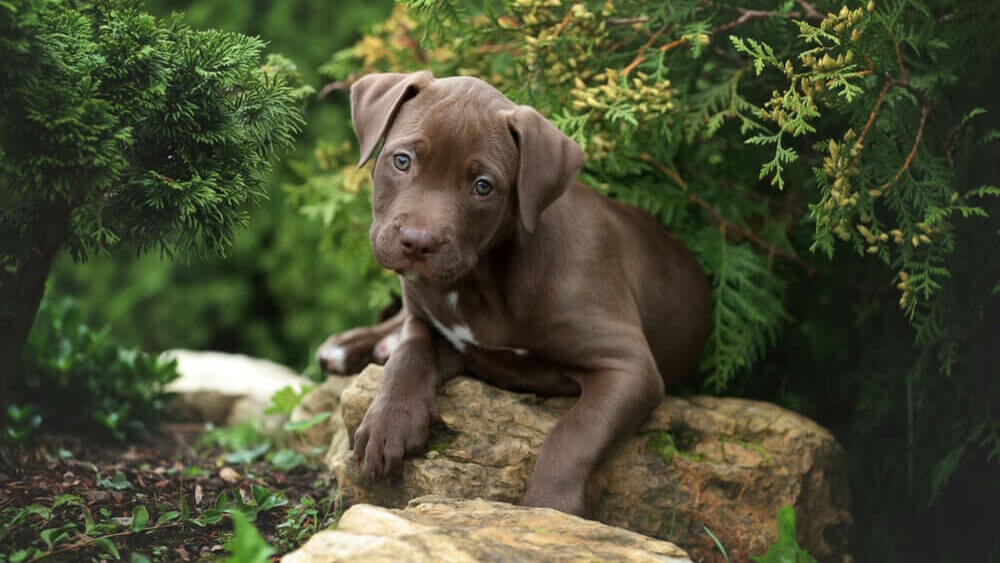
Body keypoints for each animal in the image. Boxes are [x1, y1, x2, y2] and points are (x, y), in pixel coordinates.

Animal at [324, 70, 708, 516]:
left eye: (483, 186)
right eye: (402, 160)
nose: (418, 242)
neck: (479, 284)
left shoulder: (631, 367)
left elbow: (575, 431)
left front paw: (550, 507)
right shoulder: (429, 322)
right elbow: (408, 357)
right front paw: (387, 424)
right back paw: (349, 346)